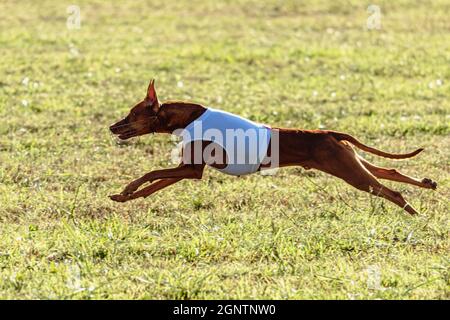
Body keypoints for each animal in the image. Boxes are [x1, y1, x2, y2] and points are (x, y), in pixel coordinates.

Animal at [109, 79, 436, 215]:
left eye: (131, 114)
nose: (112, 127)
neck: (187, 118)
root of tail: (328, 132)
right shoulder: (186, 169)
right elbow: (154, 185)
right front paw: (125, 196)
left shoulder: (191, 170)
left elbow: (150, 174)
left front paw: (127, 189)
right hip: (351, 162)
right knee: (391, 172)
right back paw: (427, 184)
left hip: (350, 173)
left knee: (391, 191)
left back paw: (414, 214)